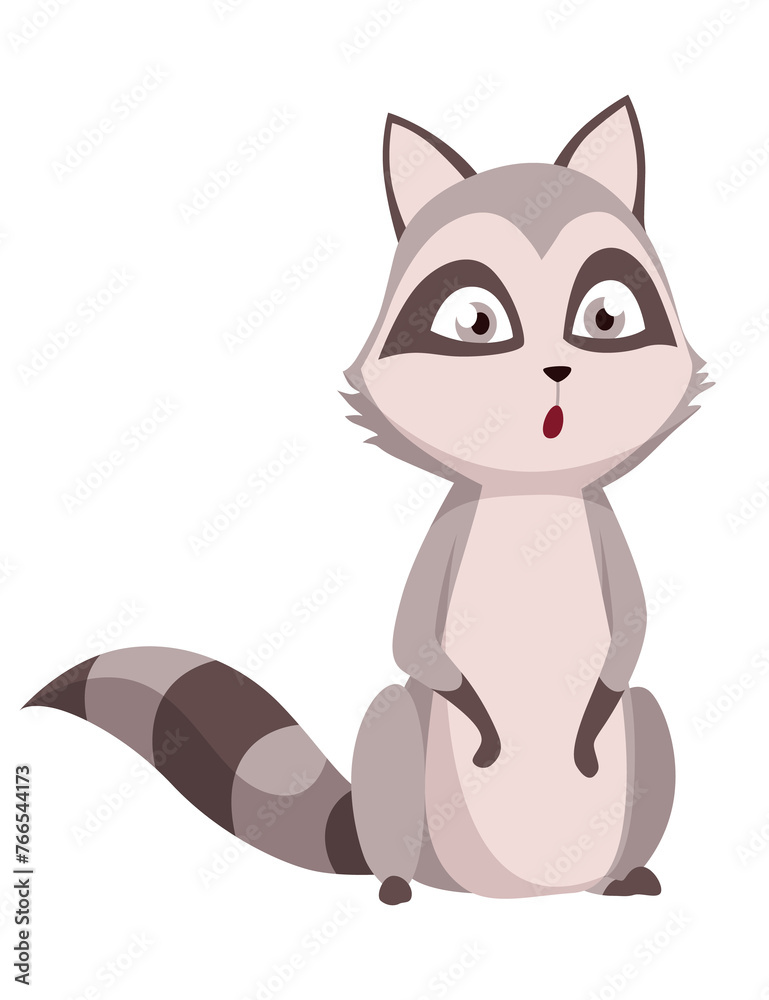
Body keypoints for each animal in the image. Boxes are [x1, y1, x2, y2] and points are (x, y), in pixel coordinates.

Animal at [25, 97, 708, 905]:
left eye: (606, 316)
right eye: (475, 321)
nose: (556, 371)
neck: (528, 490)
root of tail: (512, 892)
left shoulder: (601, 528)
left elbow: (631, 634)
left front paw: (588, 711)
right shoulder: (450, 529)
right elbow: (409, 642)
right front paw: (482, 720)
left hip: (639, 752)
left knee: (644, 706)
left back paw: (625, 875)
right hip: (405, 772)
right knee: (390, 714)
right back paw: (393, 882)